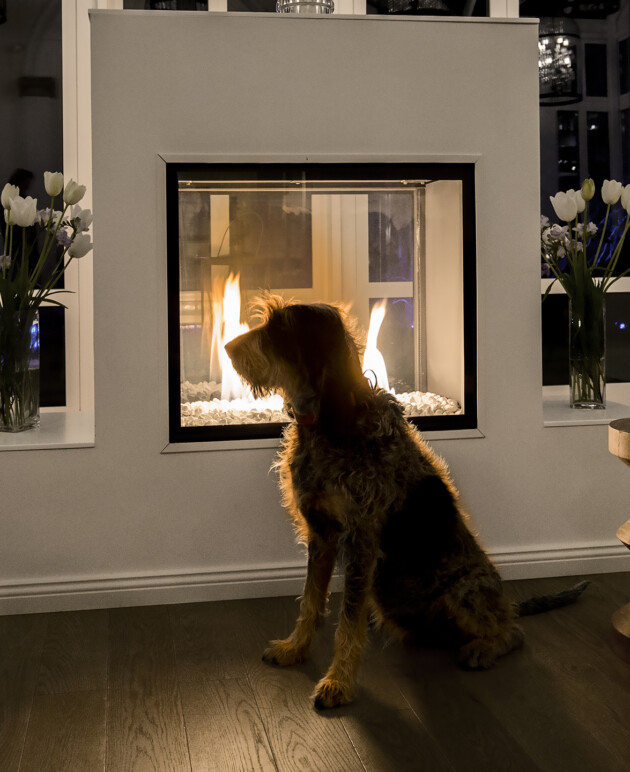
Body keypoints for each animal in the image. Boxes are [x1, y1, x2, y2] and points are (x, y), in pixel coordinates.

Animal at [225, 298, 592, 712]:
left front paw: (338, 681)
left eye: (280, 327)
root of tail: (508, 603)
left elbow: (347, 621)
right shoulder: (319, 534)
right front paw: (295, 648)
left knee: (513, 631)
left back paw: (484, 647)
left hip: (462, 591)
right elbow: (310, 602)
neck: (331, 420)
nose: (228, 349)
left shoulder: (362, 540)